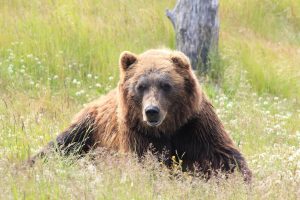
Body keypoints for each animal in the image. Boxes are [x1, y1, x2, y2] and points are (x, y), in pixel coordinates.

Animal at [29, 49, 251, 181]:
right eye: (141, 86)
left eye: (166, 85)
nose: (151, 111)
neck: (167, 129)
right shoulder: (137, 132)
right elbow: (145, 163)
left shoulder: (194, 125)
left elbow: (223, 157)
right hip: (88, 127)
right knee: (60, 145)